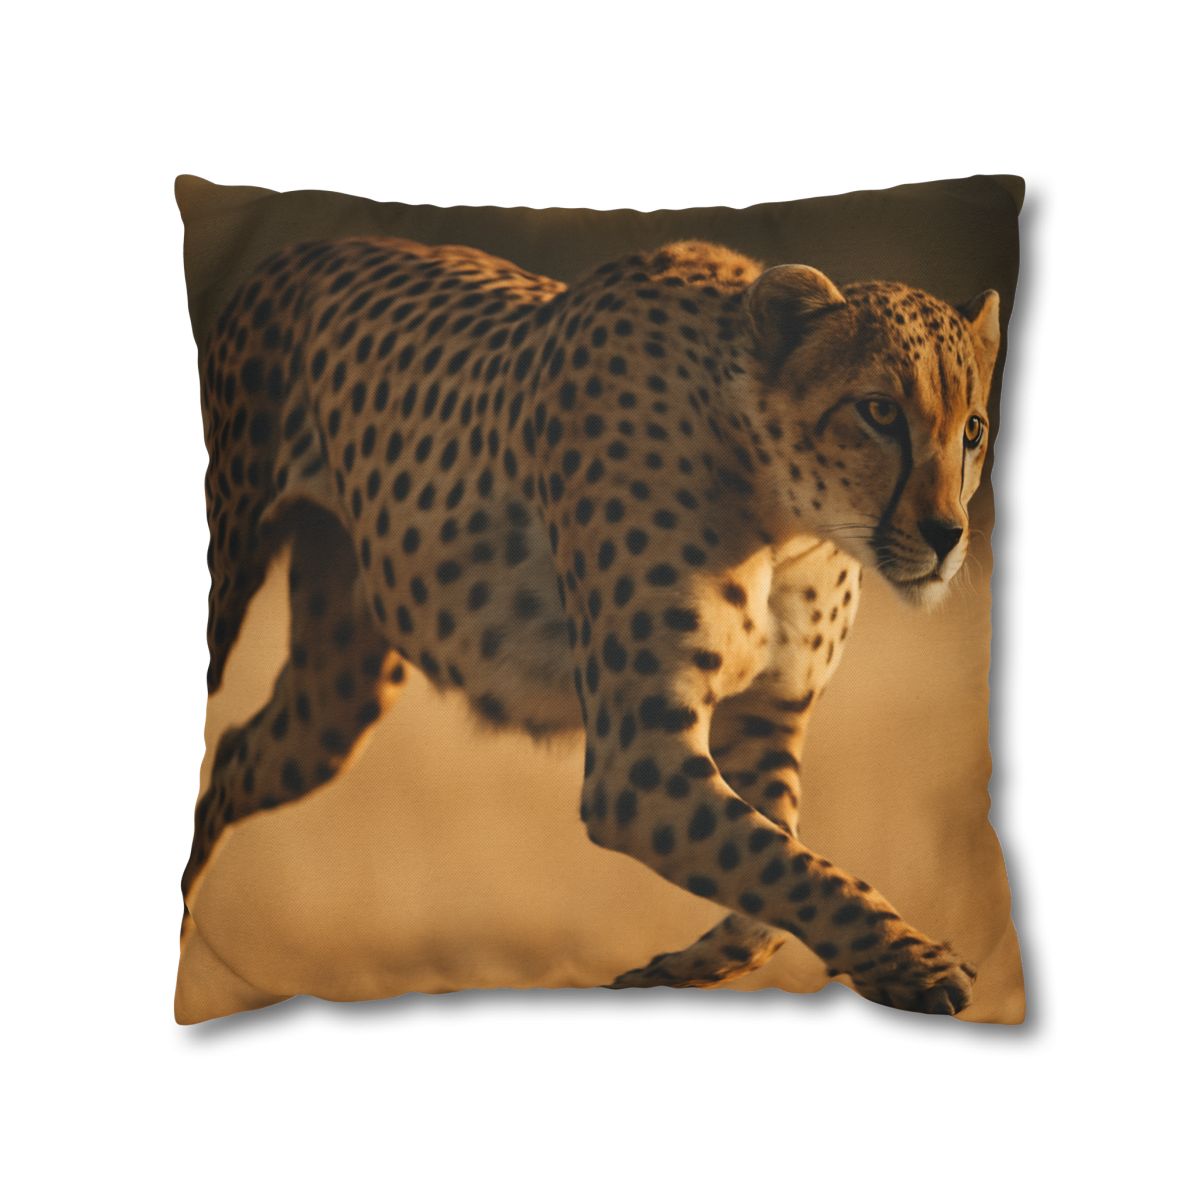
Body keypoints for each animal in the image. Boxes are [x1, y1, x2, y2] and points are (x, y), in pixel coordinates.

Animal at [185, 233, 1001, 1015]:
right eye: (880, 411)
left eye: (973, 431)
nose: (947, 536)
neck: (784, 516)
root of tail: (293, 252)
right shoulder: (636, 765)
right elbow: (788, 866)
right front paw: (919, 965)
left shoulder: (766, 722)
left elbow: (777, 876)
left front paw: (672, 972)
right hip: (230, 580)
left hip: (335, 699)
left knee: (234, 752)